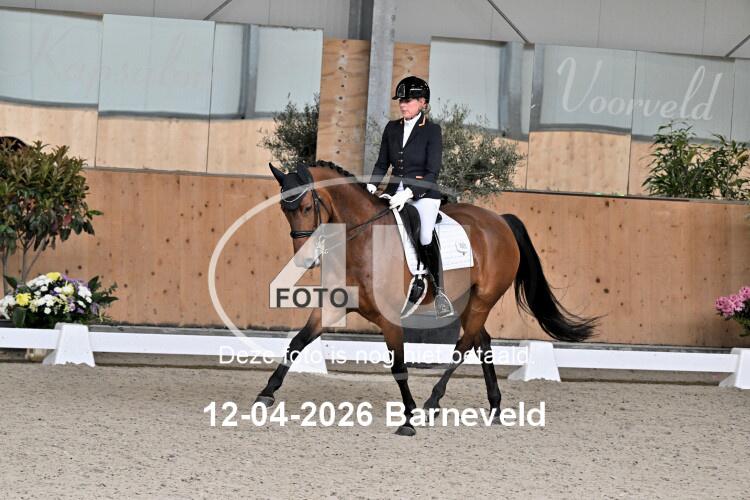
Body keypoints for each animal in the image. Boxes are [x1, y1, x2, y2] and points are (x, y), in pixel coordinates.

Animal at [257, 160, 597, 436]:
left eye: (305, 207)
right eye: (284, 210)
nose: (304, 260)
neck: (362, 240)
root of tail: (500, 221)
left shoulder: (390, 318)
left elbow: (399, 366)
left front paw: (409, 417)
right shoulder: (332, 305)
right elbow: (297, 342)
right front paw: (266, 393)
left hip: (482, 300)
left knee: (463, 346)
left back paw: (432, 402)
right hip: (465, 302)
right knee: (482, 342)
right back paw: (495, 407)